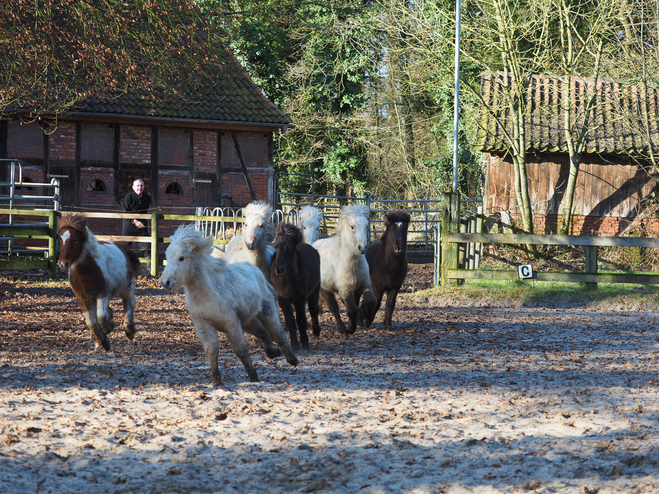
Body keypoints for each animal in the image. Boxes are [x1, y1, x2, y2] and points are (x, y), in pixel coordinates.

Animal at [59, 213, 142, 352]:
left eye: (75, 239)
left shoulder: (102, 293)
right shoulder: (83, 298)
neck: (87, 269)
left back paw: (129, 331)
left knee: (128, 306)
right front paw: (101, 341)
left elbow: (101, 316)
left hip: (127, 287)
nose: (63, 263)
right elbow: (90, 321)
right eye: (60, 238)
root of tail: (122, 247)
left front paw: (108, 329)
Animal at [161, 224, 300, 386]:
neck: (208, 294)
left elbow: (241, 350)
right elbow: (211, 352)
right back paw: (273, 353)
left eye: (181, 258)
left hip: (267, 313)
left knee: (278, 333)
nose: (166, 282)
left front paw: (253, 377)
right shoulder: (204, 325)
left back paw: (292, 360)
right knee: (263, 332)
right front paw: (216, 381)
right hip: (247, 321)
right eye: (167, 257)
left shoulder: (231, 323)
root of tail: (254, 269)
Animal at [270, 220, 322, 352]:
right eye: (276, 246)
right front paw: (294, 344)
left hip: (314, 291)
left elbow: (300, 319)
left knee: (313, 310)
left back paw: (316, 330)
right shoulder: (283, 299)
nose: (279, 269)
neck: (288, 280)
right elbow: (290, 321)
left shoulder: (300, 298)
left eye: (290, 247)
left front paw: (304, 342)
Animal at [314, 204, 376, 336]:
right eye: (352, 226)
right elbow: (351, 310)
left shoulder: (364, 284)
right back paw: (343, 330)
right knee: (334, 308)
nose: (362, 248)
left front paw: (367, 320)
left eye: (366, 226)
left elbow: (370, 301)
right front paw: (351, 329)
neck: (353, 264)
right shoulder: (345, 289)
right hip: (325, 290)